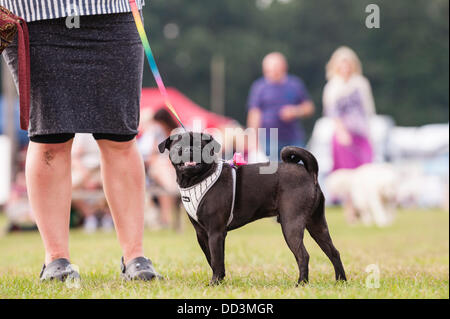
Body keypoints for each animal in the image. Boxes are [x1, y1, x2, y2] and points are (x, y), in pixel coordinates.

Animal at [159, 131, 348, 286]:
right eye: (178, 146)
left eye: (200, 145)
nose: (190, 149)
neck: (195, 179)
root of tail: (308, 172)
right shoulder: (202, 234)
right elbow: (212, 259)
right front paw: (219, 280)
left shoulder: (215, 232)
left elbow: (217, 260)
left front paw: (215, 283)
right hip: (317, 225)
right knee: (333, 252)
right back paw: (341, 281)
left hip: (291, 225)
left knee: (303, 255)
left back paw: (301, 283)